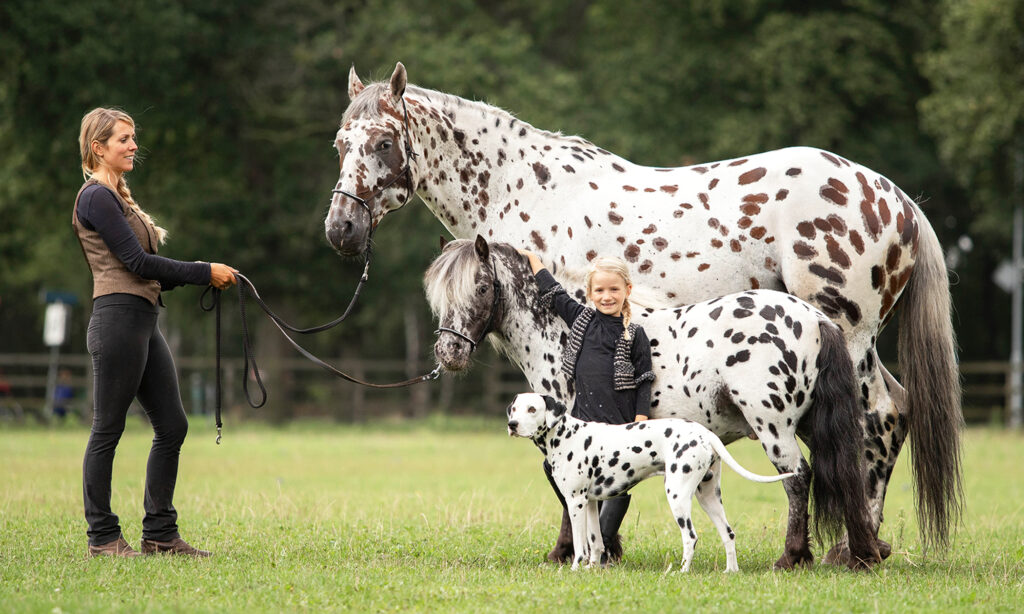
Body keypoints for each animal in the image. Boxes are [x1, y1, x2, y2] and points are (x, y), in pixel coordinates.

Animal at [505, 392, 790, 568]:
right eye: (515, 408)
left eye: (533, 409)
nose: (512, 424)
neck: (565, 435)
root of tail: (704, 433)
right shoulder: (591, 503)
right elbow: (596, 542)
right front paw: (592, 568)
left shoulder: (575, 503)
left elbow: (579, 544)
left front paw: (576, 568)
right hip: (708, 497)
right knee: (728, 534)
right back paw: (731, 571)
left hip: (677, 496)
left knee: (691, 537)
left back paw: (681, 572)